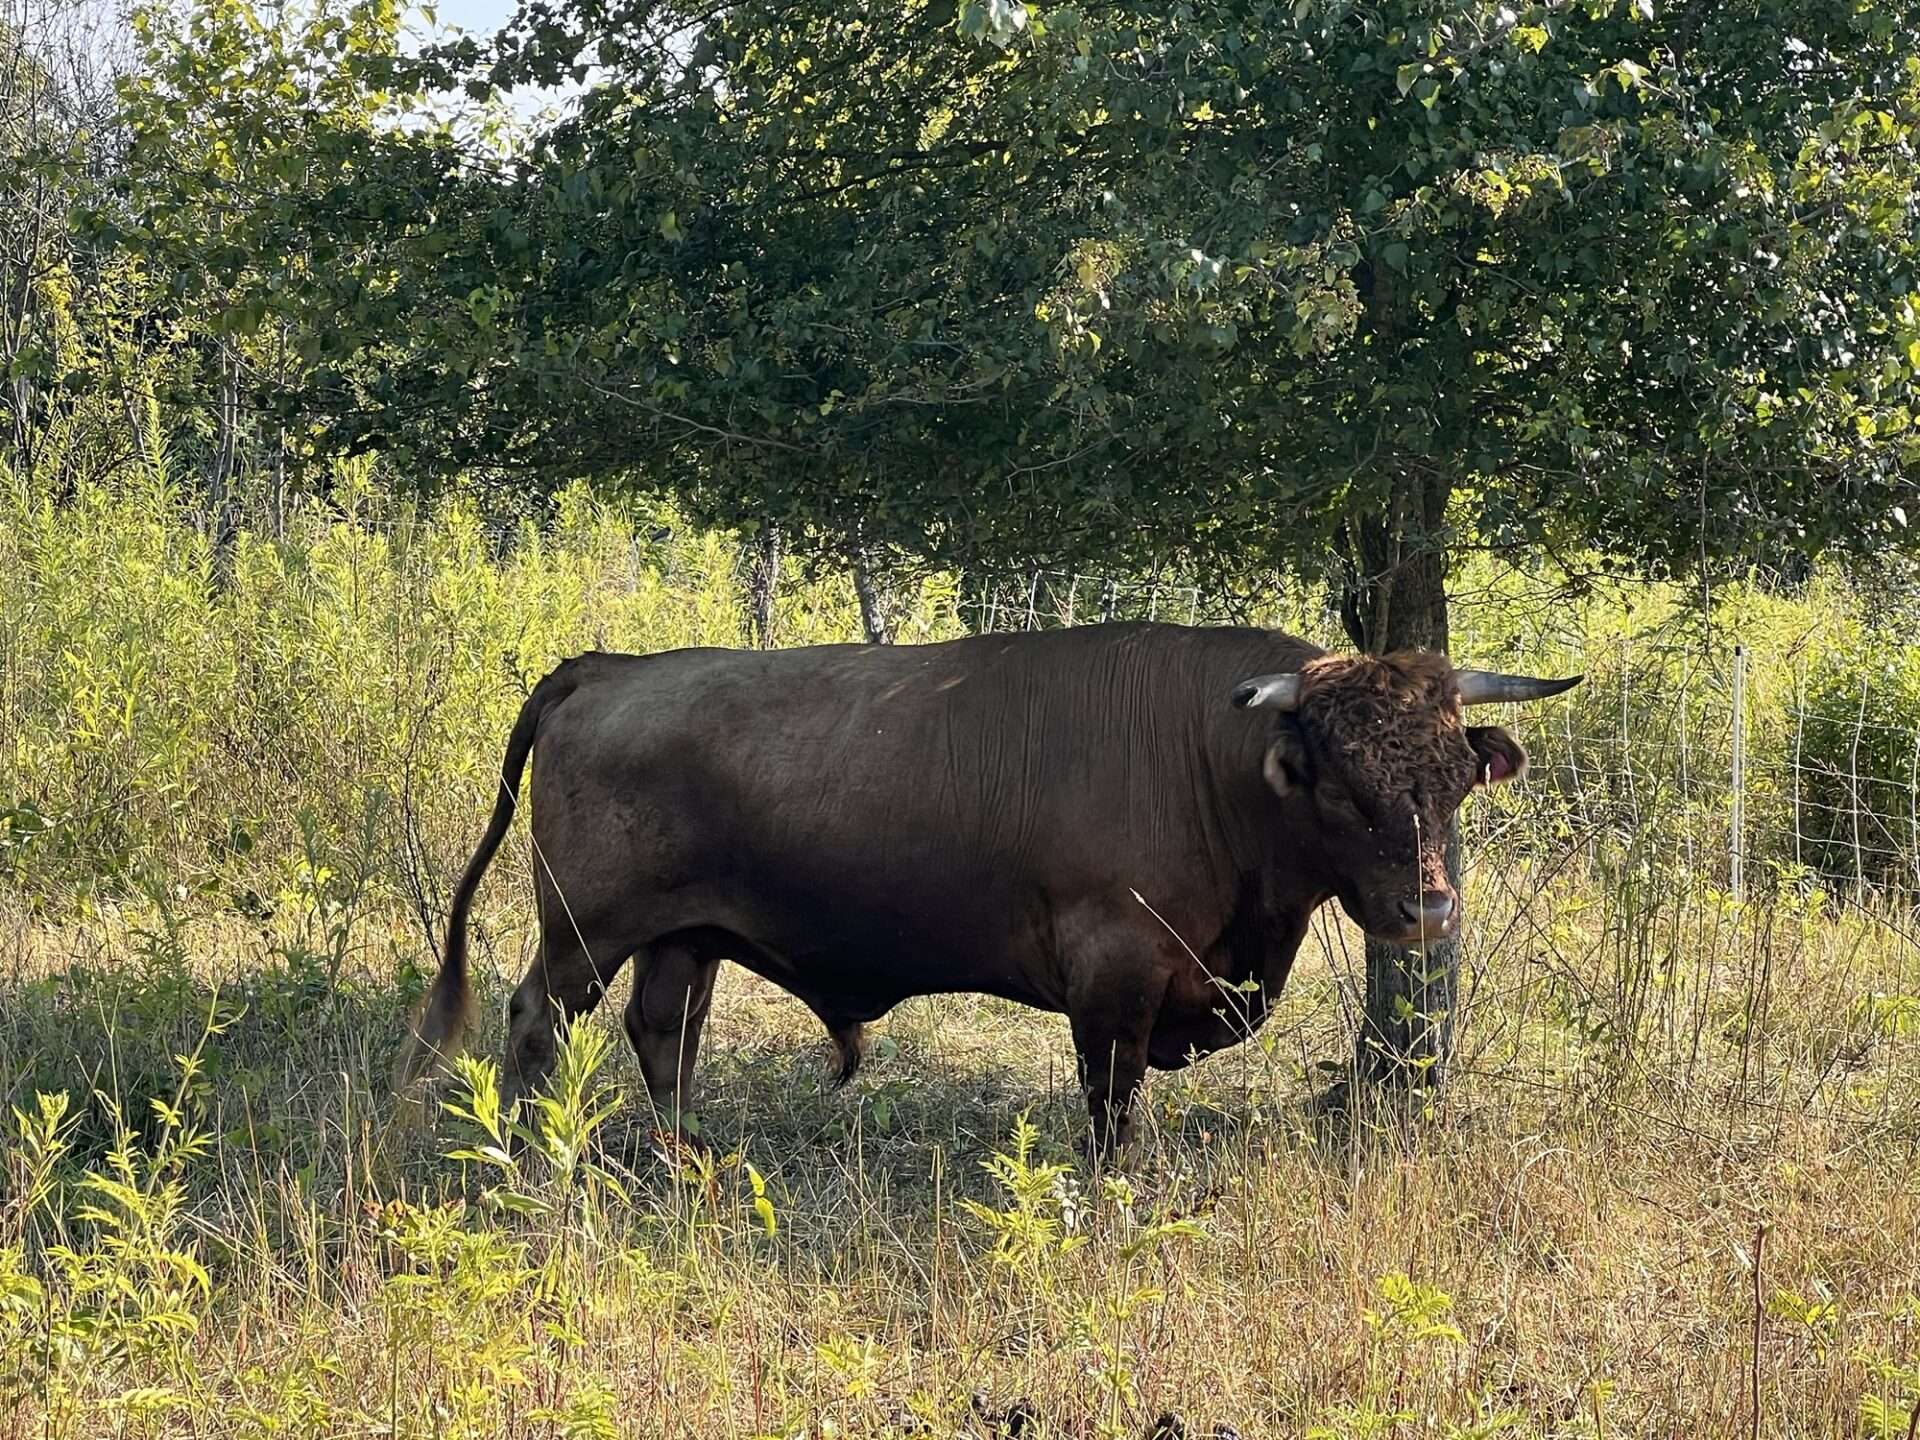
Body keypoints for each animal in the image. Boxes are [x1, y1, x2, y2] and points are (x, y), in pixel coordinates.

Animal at [397, 624, 1578, 1155]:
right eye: (1338, 785)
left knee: (663, 1033)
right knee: (538, 1019)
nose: (1429, 909)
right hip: (585, 933)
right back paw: (525, 1151)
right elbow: (1110, 1100)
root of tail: (605, 666)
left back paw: (691, 1158)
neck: (1216, 760)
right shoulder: (1116, 981)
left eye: (1452, 775)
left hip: (682, 937)